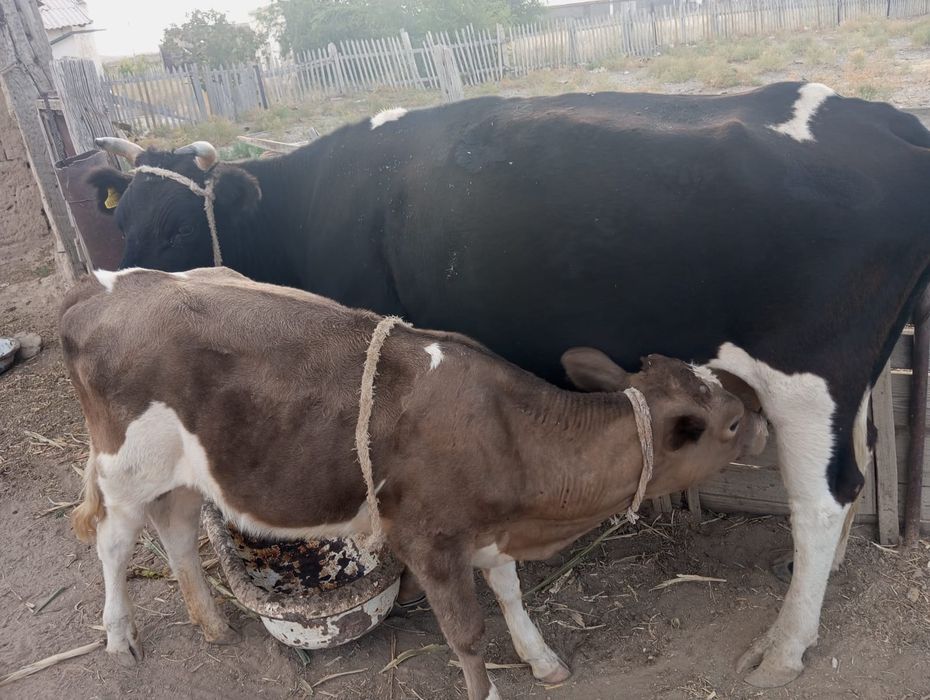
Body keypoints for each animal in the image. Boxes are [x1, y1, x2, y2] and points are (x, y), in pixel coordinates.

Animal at [61, 267, 768, 700]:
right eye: (731, 422)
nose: (763, 424)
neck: (510, 434)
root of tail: (106, 288)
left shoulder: (487, 528)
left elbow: (511, 594)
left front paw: (542, 659)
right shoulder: (430, 542)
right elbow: (467, 634)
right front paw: (490, 689)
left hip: (183, 471)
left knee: (179, 535)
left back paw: (211, 623)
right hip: (124, 470)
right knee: (114, 545)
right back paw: (120, 639)